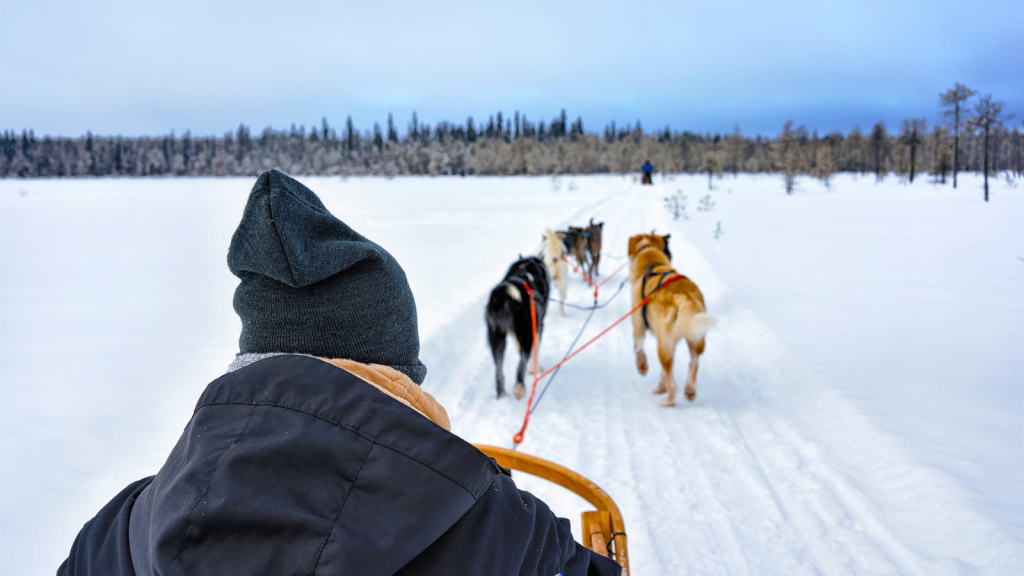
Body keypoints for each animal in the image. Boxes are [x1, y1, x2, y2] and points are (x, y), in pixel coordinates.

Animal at [483, 255, 548, 399]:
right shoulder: (538, 328)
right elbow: (535, 352)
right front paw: (535, 369)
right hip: (526, 334)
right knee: (520, 366)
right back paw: (519, 388)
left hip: (496, 338)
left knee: (499, 371)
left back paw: (501, 395)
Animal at [622, 231, 712, 403]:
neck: (652, 263)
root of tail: (683, 295)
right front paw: (661, 385)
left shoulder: (639, 326)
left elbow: (638, 348)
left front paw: (642, 367)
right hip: (694, 338)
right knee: (694, 362)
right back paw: (689, 390)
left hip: (663, 347)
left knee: (673, 383)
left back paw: (667, 400)